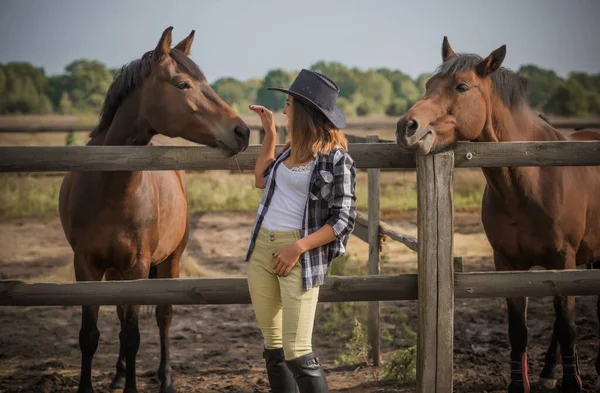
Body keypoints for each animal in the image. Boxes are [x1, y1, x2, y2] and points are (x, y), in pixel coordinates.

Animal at [59, 27, 251, 392]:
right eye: (182, 84)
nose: (242, 131)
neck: (109, 187)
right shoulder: (85, 266)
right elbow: (89, 335)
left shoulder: (138, 266)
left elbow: (132, 335)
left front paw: (134, 386)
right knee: (122, 312)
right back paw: (120, 373)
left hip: (169, 260)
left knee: (163, 317)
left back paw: (166, 379)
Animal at [394, 36, 600, 392]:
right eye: (429, 84)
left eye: (462, 86)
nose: (407, 127)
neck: (532, 177)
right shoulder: (506, 263)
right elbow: (518, 331)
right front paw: (521, 384)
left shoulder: (564, 261)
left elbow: (568, 326)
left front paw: (573, 383)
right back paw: (549, 372)